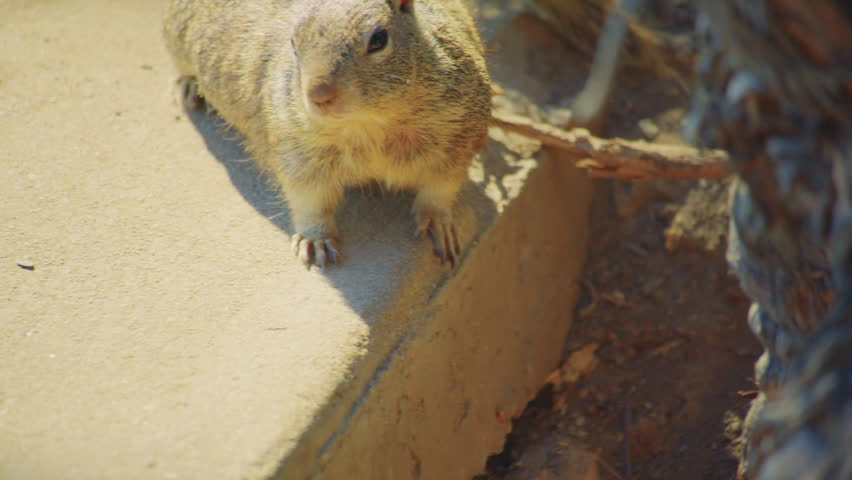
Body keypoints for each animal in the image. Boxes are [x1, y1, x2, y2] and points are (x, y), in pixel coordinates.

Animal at [163, 0, 491, 269]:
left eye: (379, 39)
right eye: (294, 44)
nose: (319, 94)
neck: (368, 123)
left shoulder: (460, 140)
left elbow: (440, 189)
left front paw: (438, 223)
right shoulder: (296, 152)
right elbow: (310, 199)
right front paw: (315, 239)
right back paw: (190, 87)